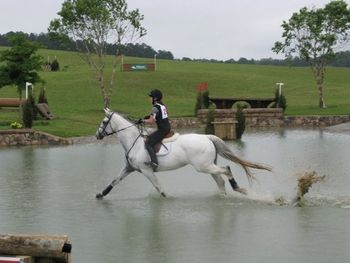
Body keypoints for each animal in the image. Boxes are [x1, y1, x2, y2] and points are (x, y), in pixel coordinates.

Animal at [94, 108, 272, 199]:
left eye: (104, 121)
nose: (97, 135)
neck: (134, 142)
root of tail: (207, 137)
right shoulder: (129, 168)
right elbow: (114, 181)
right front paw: (100, 194)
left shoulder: (146, 170)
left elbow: (158, 187)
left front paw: (166, 198)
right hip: (208, 166)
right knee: (220, 180)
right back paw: (225, 197)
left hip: (203, 166)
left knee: (226, 169)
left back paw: (237, 188)